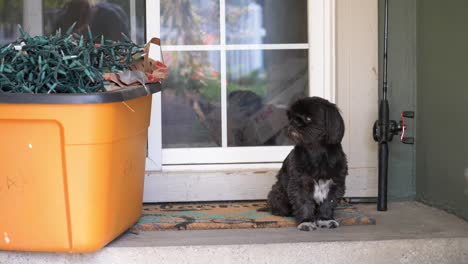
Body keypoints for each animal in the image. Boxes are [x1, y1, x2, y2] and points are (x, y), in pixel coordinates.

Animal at [266, 96, 348, 231]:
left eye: (308, 118)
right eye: (291, 117)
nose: (293, 122)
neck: (316, 151)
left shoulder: (335, 183)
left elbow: (328, 203)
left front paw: (326, 219)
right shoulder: (300, 184)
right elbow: (304, 203)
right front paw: (306, 222)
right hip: (278, 194)